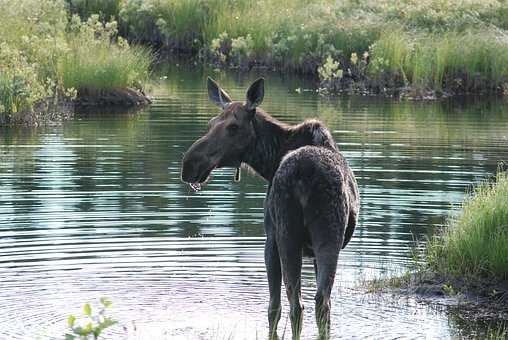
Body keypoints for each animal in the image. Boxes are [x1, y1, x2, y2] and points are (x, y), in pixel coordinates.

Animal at [181, 77, 360, 340]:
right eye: (211, 123)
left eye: (233, 126)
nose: (189, 164)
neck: (269, 162)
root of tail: (304, 174)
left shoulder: (270, 238)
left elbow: (273, 307)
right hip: (327, 238)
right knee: (322, 303)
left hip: (288, 236)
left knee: (296, 305)